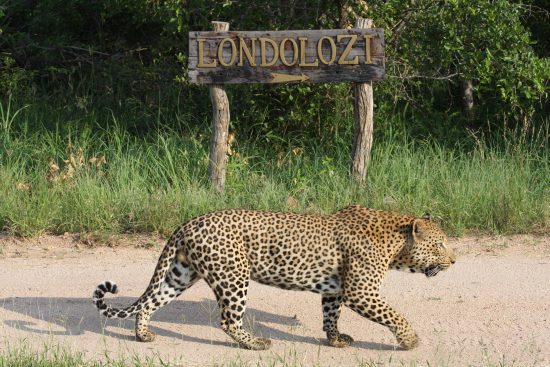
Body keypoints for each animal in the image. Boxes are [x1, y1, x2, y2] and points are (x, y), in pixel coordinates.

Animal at [94, 206, 458, 352]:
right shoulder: (361, 291)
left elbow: (330, 316)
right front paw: (410, 340)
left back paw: (143, 335)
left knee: (151, 302)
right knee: (228, 320)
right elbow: (395, 315)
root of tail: (189, 222)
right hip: (234, 275)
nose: (455, 260)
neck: (397, 243)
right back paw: (256, 344)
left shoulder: (336, 289)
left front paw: (335, 340)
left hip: (182, 273)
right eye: (440, 244)